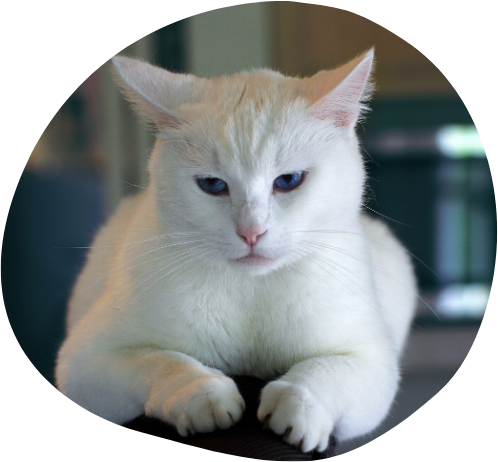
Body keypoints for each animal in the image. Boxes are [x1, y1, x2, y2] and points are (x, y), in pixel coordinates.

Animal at [56, 48, 418, 452]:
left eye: (288, 180)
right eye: (213, 185)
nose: (251, 232)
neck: (251, 292)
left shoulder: (372, 358)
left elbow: (326, 370)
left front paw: (298, 406)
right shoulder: (85, 360)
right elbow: (162, 361)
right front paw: (202, 395)